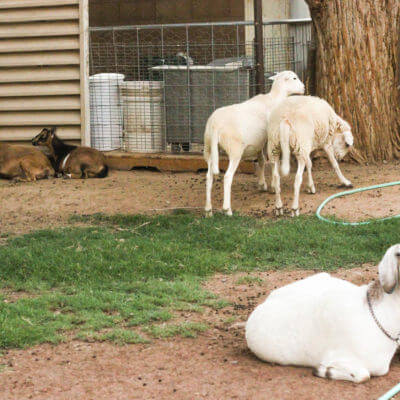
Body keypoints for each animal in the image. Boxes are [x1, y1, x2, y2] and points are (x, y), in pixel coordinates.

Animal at [205, 70, 304, 217]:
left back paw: (208, 210)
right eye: (294, 78)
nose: (303, 88)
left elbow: (261, 160)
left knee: (209, 177)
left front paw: (262, 184)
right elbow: (272, 162)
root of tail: (215, 125)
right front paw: (273, 186)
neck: (274, 99)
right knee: (227, 177)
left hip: (209, 149)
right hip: (235, 149)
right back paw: (227, 209)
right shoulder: (269, 139)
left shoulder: (258, 142)